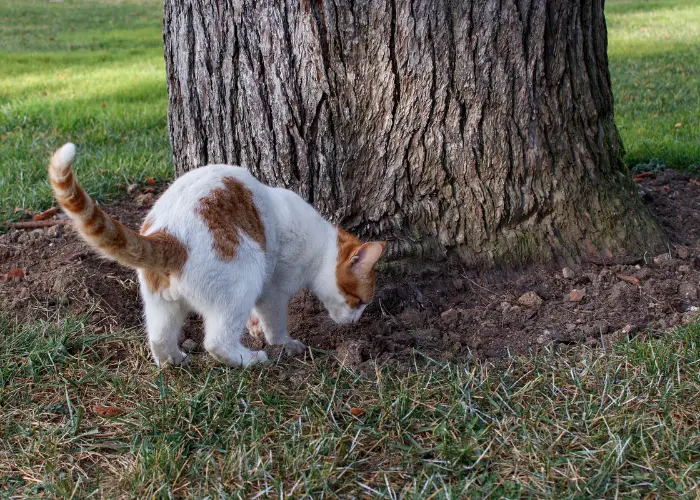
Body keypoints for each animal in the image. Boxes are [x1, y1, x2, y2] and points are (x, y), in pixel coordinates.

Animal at [47, 144, 388, 368]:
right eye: (360, 301)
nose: (356, 322)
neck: (320, 243)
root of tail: (168, 235)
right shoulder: (274, 291)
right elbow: (275, 325)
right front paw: (284, 344)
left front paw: (254, 327)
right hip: (244, 279)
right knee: (216, 342)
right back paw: (250, 359)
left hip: (161, 304)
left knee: (159, 338)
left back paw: (174, 361)